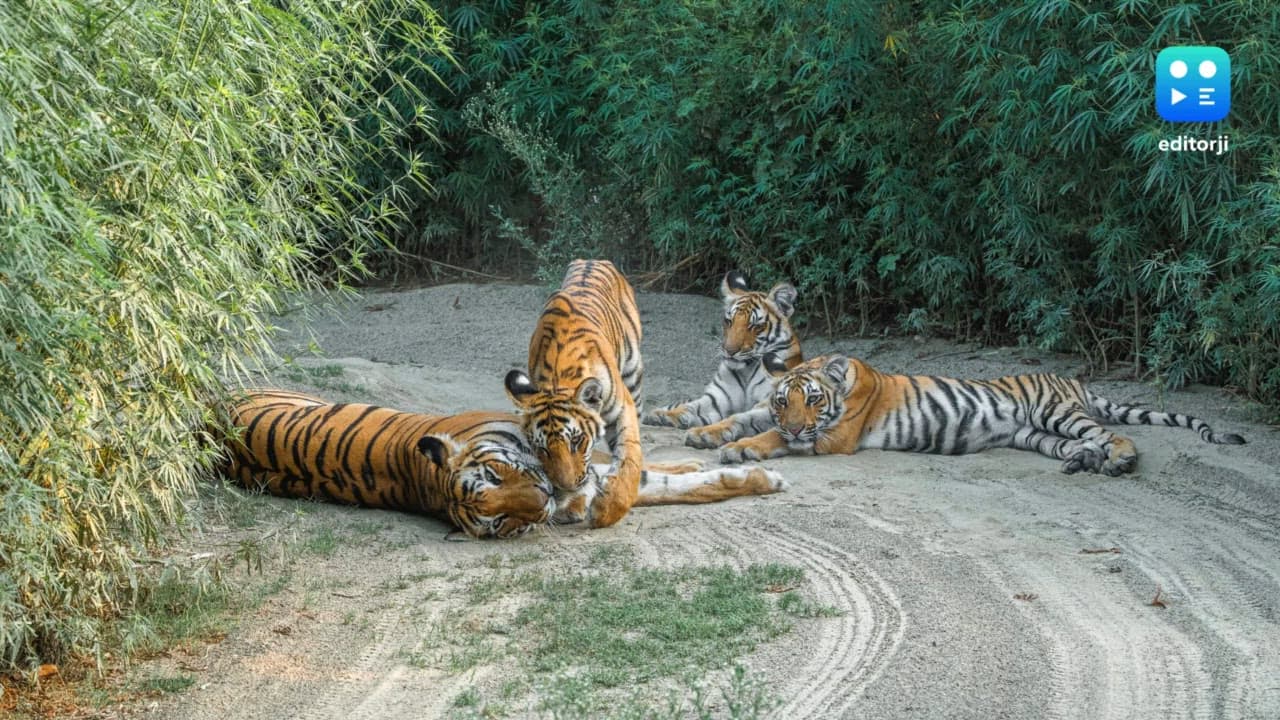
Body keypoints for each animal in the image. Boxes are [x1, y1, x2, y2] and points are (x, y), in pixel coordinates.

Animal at [643, 270, 802, 430]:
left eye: (755, 326)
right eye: (729, 321)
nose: (729, 350)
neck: (746, 372)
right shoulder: (717, 399)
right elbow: (691, 407)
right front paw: (664, 415)